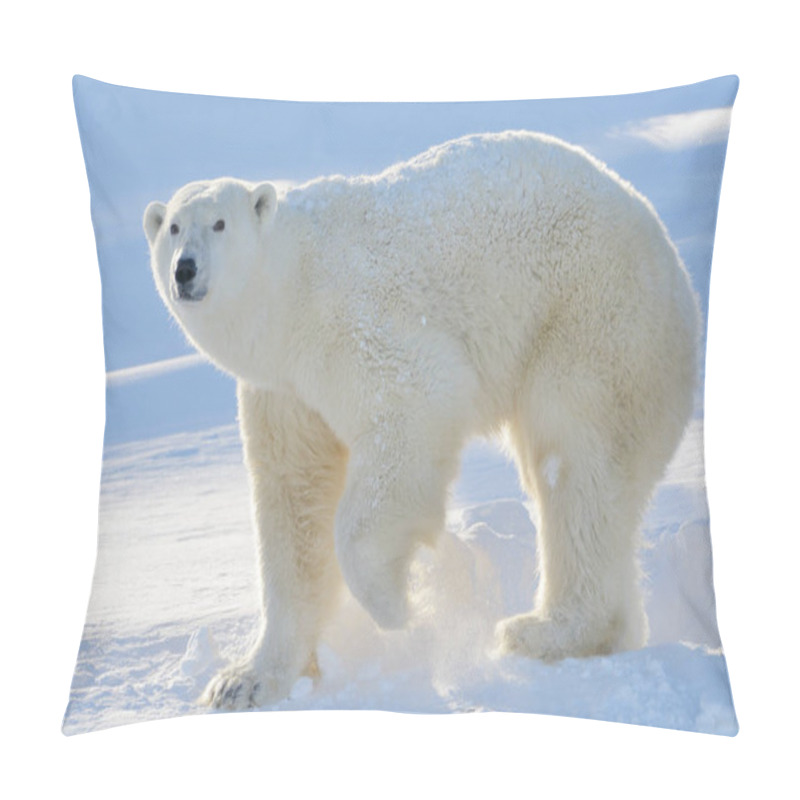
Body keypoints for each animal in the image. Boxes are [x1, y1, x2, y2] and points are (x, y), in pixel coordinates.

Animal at [145, 133, 700, 712]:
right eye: (173, 227)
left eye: (219, 224)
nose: (185, 269)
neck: (291, 288)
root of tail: (666, 249)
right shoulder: (283, 392)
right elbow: (293, 500)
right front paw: (243, 680)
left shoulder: (355, 323)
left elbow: (412, 410)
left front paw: (397, 608)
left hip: (593, 318)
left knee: (576, 462)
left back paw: (542, 630)